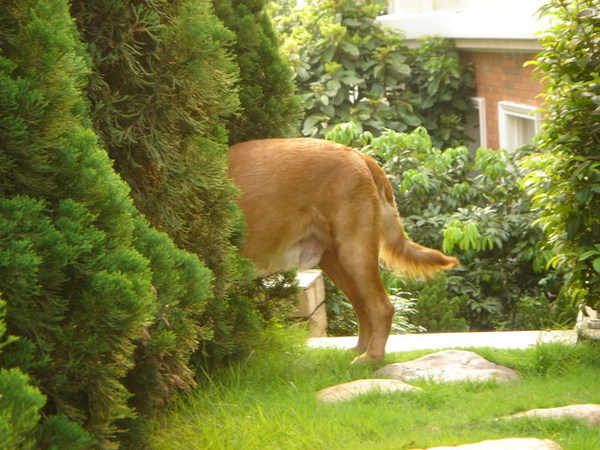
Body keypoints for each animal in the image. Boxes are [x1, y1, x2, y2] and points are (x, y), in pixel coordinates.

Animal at [227, 137, 458, 362]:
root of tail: (359, 155)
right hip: (336, 262)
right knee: (363, 307)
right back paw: (359, 350)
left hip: (355, 252)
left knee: (382, 306)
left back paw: (372, 357)